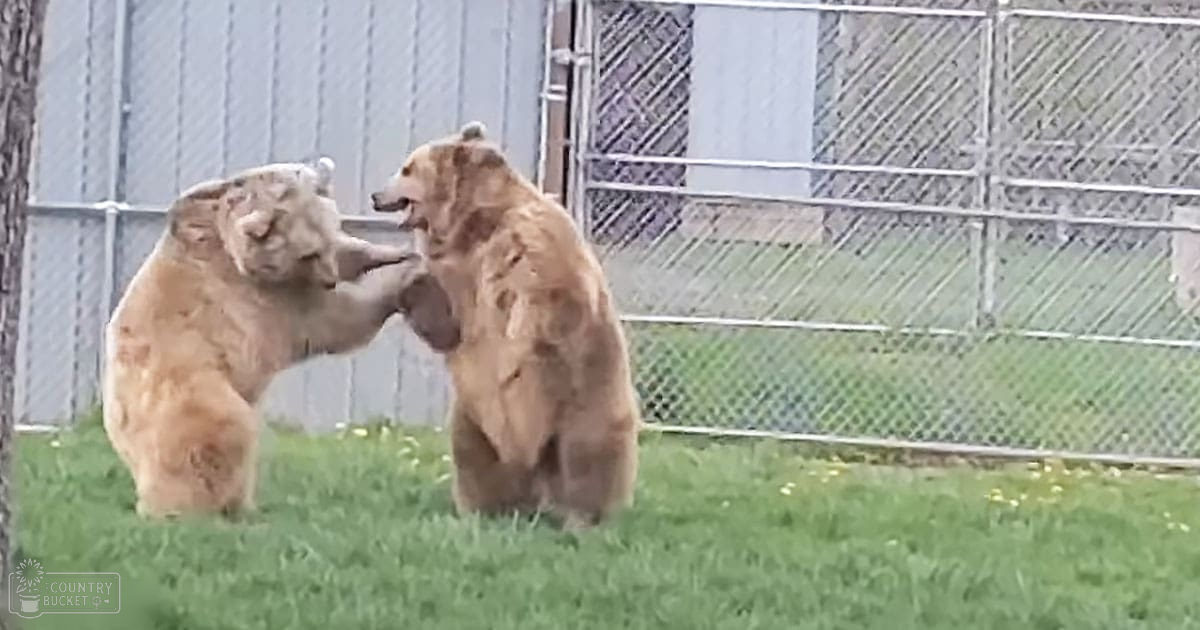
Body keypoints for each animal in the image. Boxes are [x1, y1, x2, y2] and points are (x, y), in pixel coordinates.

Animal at [102, 157, 460, 519]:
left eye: (328, 238)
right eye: (307, 253)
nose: (330, 279)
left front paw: (390, 253)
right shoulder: (263, 298)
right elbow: (335, 321)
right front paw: (400, 279)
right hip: (189, 393)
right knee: (220, 437)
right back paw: (213, 509)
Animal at [370, 121, 641, 531]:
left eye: (407, 169)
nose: (375, 195)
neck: (471, 227)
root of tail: (538, 471)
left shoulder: (529, 242)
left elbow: (549, 299)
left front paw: (516, 353)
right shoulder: (458, 281)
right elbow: (449, 325)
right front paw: (410, 283)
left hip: (585, 398)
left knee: (586, 455)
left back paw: (582, 519)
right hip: (475, 415)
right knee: (475, 455)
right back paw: (485, 512)